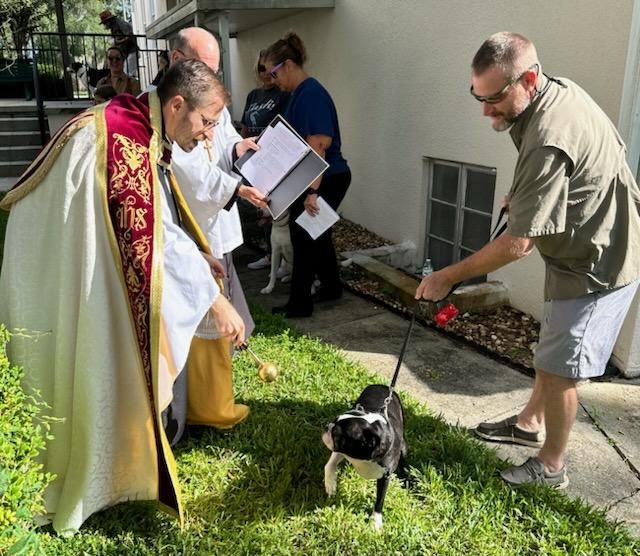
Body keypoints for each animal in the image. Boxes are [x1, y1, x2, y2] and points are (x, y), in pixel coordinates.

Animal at [322, 384, 408, 528]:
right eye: (334, 421)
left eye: (336, 433)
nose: (327, 426)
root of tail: (382, 385)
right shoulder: (340, 450)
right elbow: (329, 465)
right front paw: (330, 484)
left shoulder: (385, 477)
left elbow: (380, 500)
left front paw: (376, 522)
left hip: (404, 447)